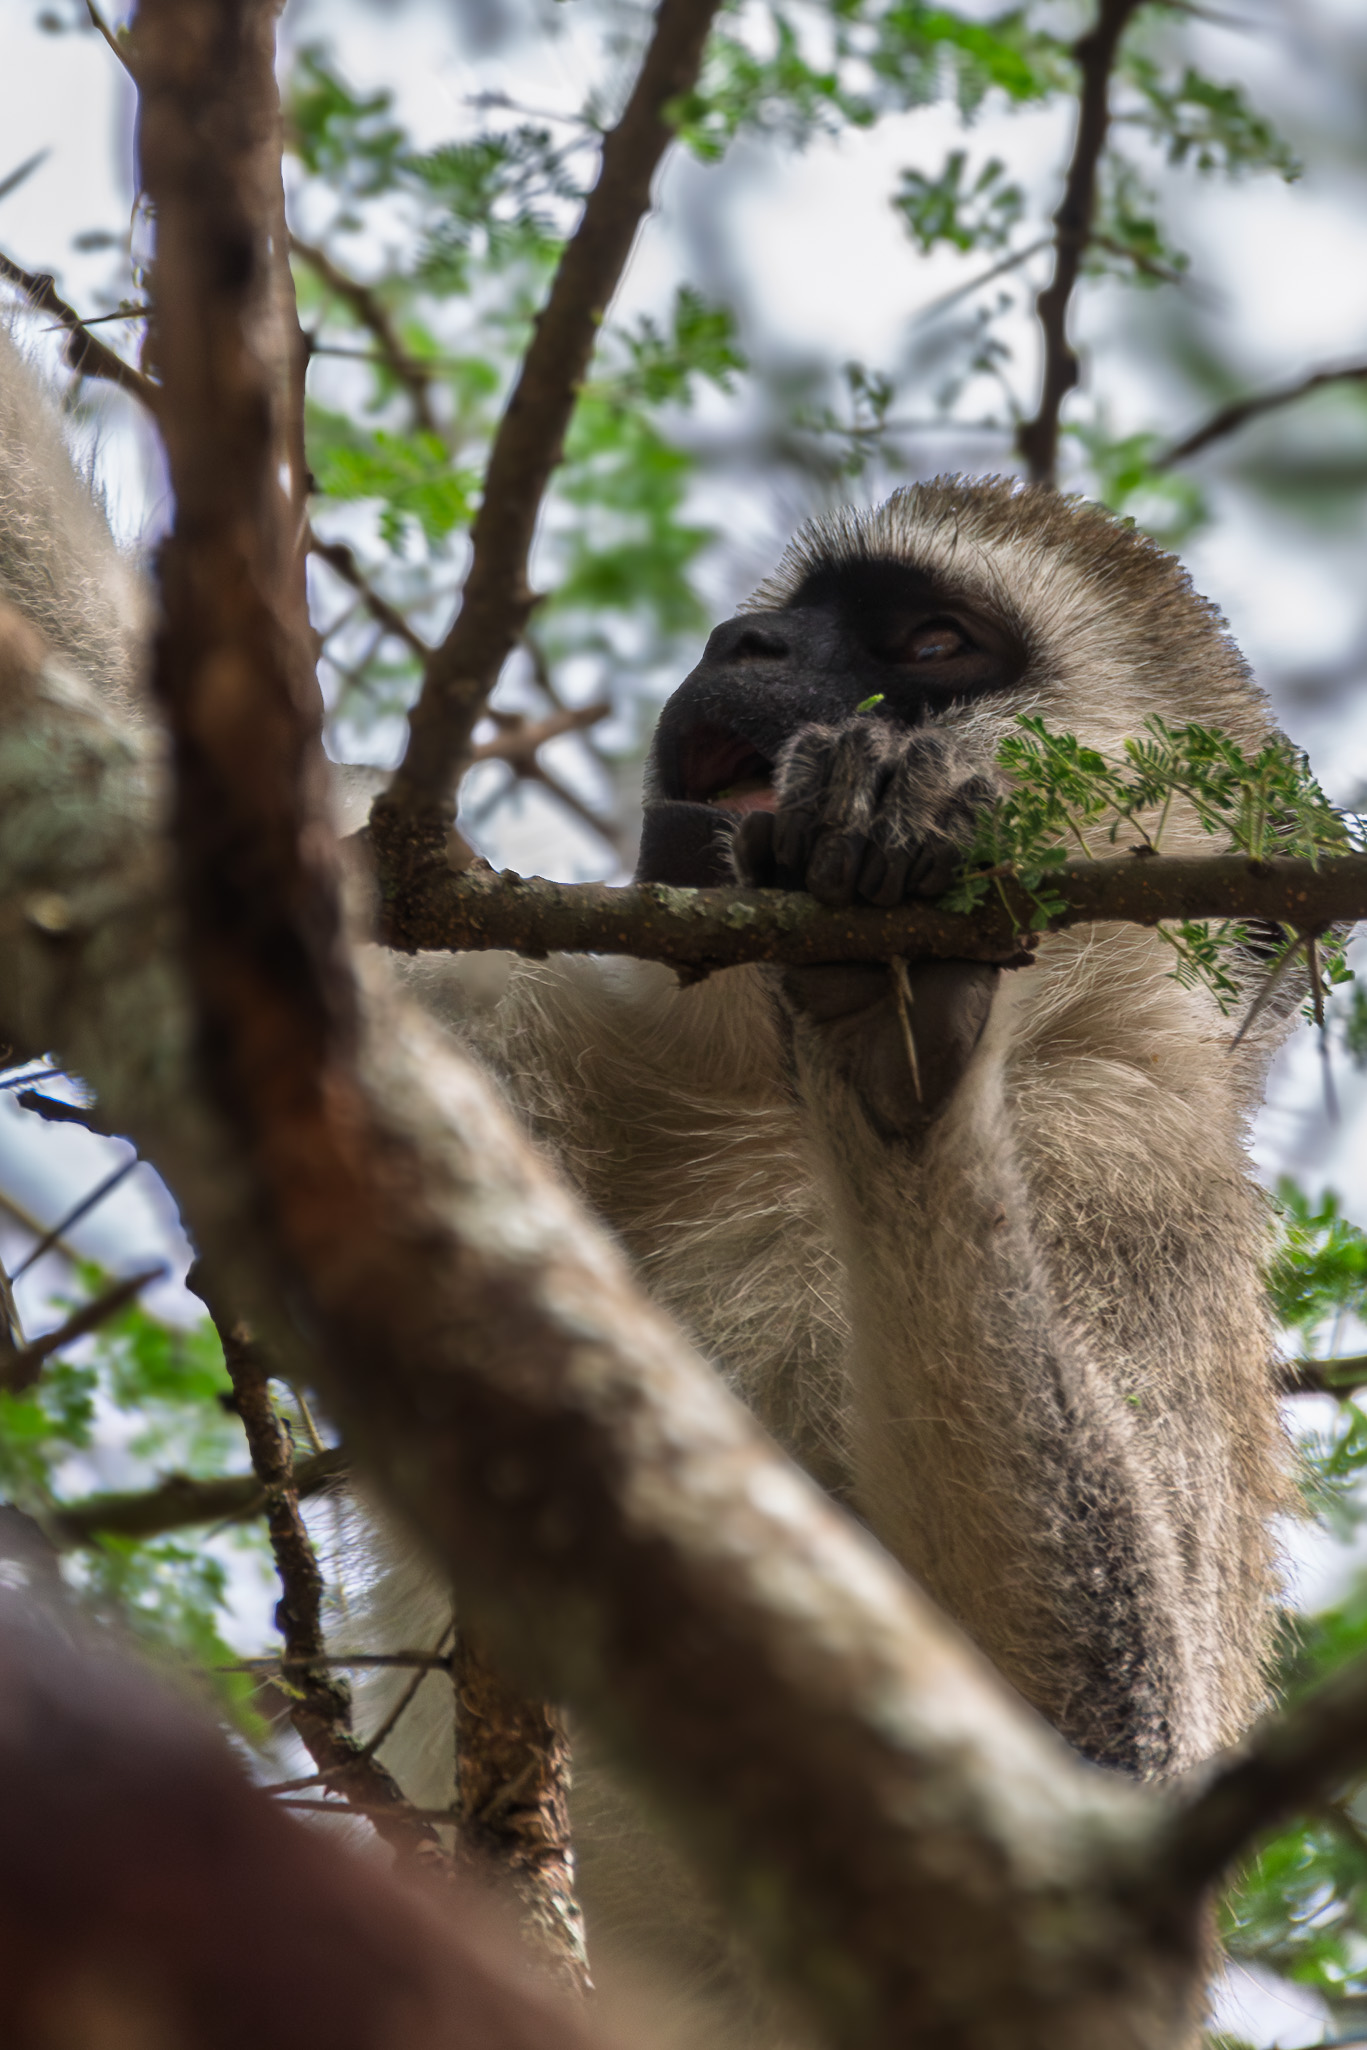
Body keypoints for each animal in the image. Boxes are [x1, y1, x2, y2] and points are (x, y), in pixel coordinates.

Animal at [0, 326, 1298, 2035]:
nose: (738, 635)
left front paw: (902, 1025)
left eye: (931, 638)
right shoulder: (526, 1030)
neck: (754, 1104)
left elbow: (1080, 1790)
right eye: (782, 614)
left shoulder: (1131, 1175)